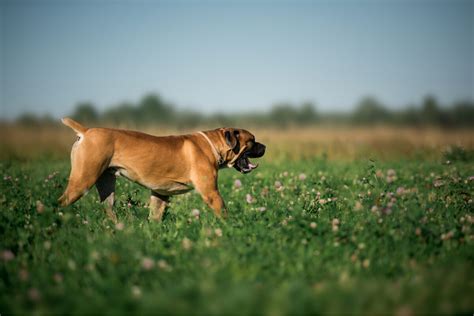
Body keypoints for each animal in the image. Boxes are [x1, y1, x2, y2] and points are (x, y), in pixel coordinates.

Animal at [57, 118, 264, 222]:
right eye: (252, 140)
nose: (265, 147)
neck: (213, 144)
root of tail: (86, 132)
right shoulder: (211, 193)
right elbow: (223, 212)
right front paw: (232, 228)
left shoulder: (160, 194)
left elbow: (155, 215)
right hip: (83, 180)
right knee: (61, 203)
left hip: (106, 185)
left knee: (108, 208)